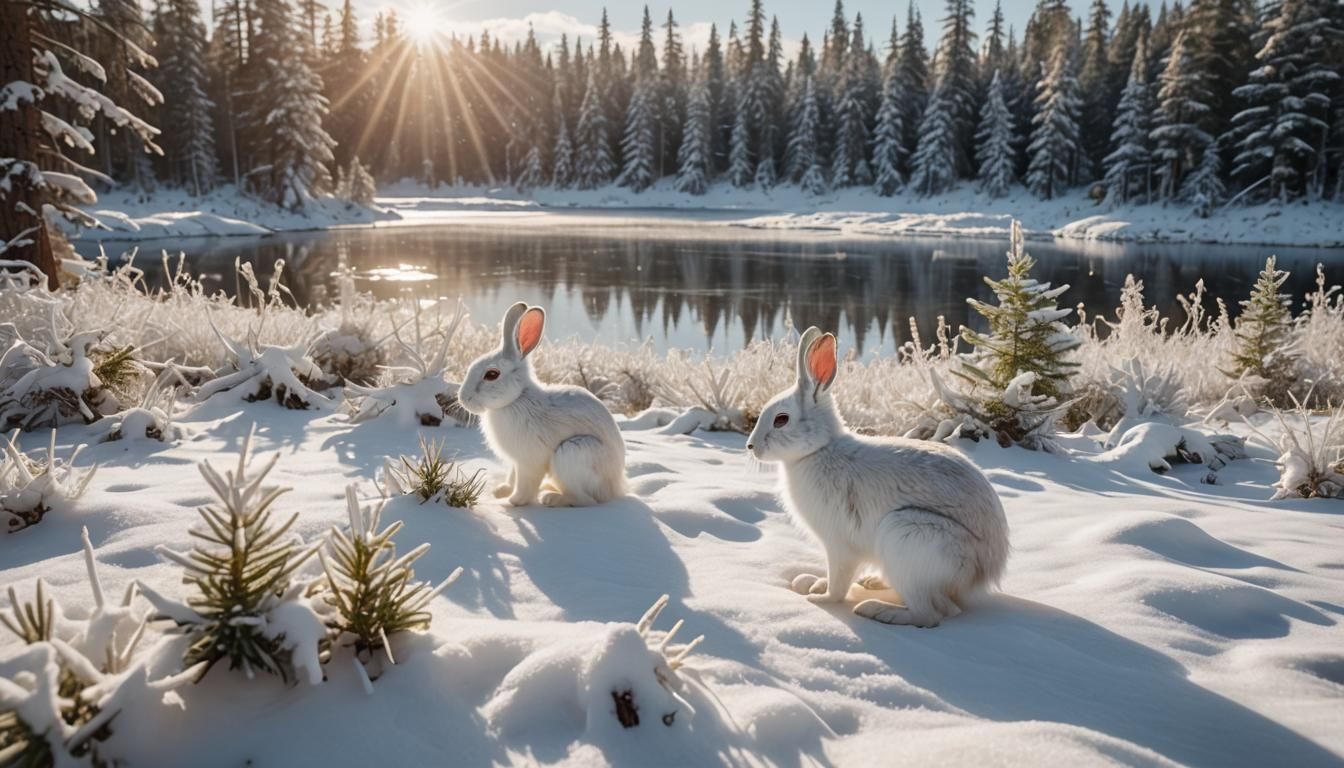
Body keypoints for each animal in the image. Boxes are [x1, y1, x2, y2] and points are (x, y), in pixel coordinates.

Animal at [457, 302, 628, 507]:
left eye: (491, 375)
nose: (463, 398)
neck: (517, 398)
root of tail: (615, 487)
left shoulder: (528, 462)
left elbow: (525, 483)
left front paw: (512, 501)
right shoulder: (515, 461)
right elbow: (512, 475)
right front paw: (501, 491)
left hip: (571, 454)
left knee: (586, 500)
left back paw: (550, 497)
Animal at [745, 327, 1010, 627]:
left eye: (781, 419)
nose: (751, 446)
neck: (819, 449)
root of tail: (982, 573)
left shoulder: (839, 544)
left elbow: (839, 581)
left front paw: (820, 599)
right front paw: (815, 584)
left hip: (907, 537)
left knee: (929, 614)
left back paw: (877, 610)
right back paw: (872, 584)